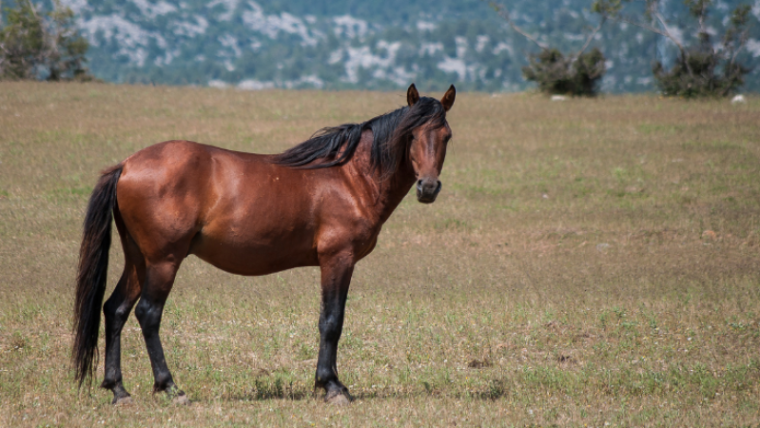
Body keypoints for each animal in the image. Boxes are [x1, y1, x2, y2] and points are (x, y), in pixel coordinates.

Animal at [74, 83, 458, 404]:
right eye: (411, 134)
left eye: (447, 136)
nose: (428, 187)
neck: (350, 177)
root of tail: (127, 165)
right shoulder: (338, 259)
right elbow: (332, 320)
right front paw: (332, 386)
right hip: (164, 260)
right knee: (148, 314)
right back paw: (170, 387)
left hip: (138, 259)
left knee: (116, 310)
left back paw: (119, 390)